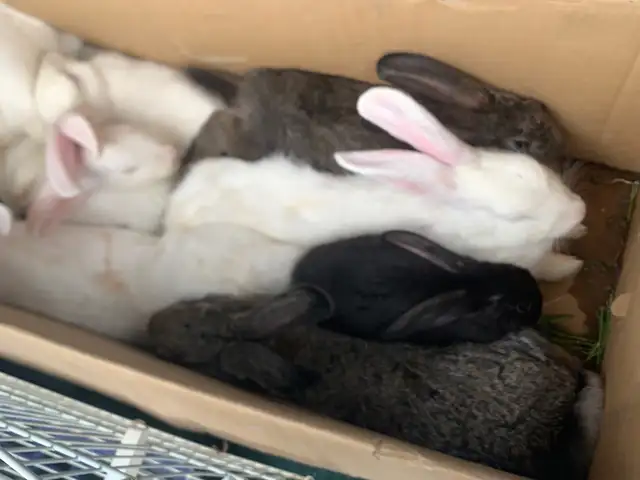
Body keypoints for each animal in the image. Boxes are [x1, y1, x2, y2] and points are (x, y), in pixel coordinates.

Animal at [165, 86, 586, 282]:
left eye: (538, 173)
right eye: (517, 217)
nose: (580, 208)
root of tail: (177, 204)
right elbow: (548, 266)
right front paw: (572, 265)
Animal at [183, 52, 566, 174]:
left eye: (539, 108)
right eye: (529, 137)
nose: (564, 148)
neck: (489, 125)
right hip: (251, 137)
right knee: (216, 126)